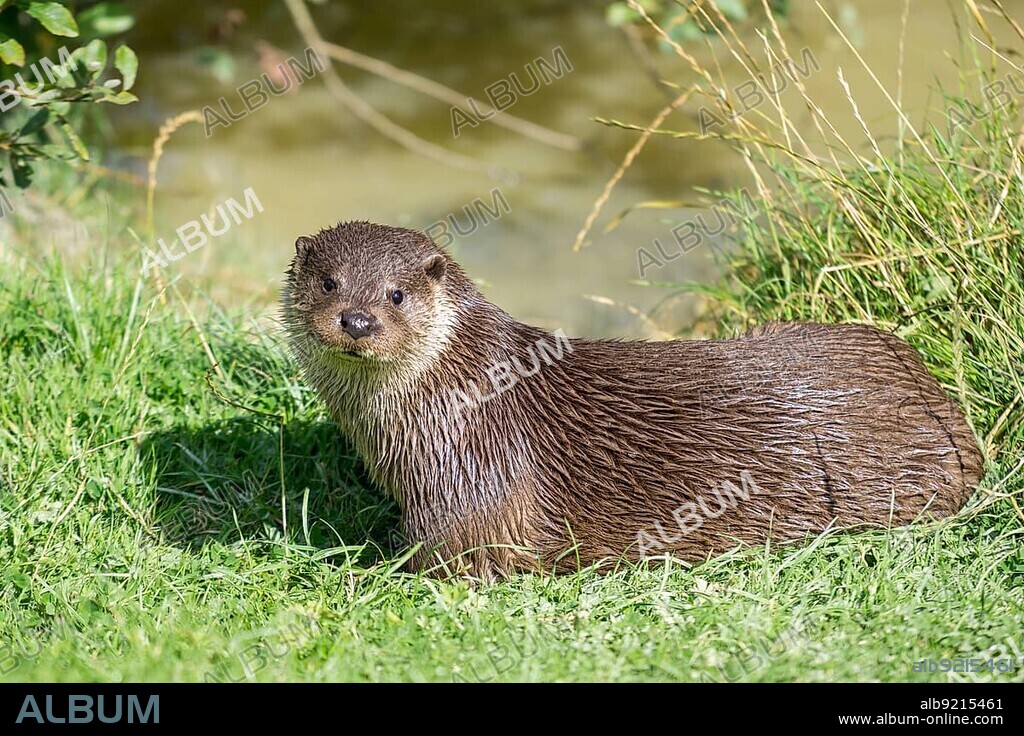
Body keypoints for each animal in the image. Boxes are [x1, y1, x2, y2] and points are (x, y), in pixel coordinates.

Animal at [282, 221, 984, 579]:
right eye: (329, 282)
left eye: (397, 294)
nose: (357, 320)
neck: (462, 391)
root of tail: (946, 412)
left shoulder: (477, 483)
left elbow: (457, 561)